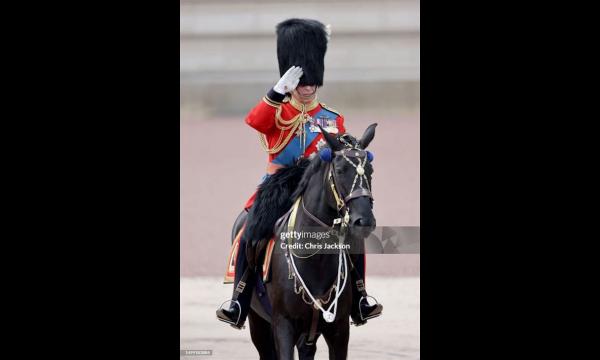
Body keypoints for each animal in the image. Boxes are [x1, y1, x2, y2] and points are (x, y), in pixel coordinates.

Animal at [232, 124, 378, 360]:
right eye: (339, 171)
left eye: (371, 171)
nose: (364, 221)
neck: (315, 260)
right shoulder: (283, 326)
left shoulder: (339, 329)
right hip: (258, 323)